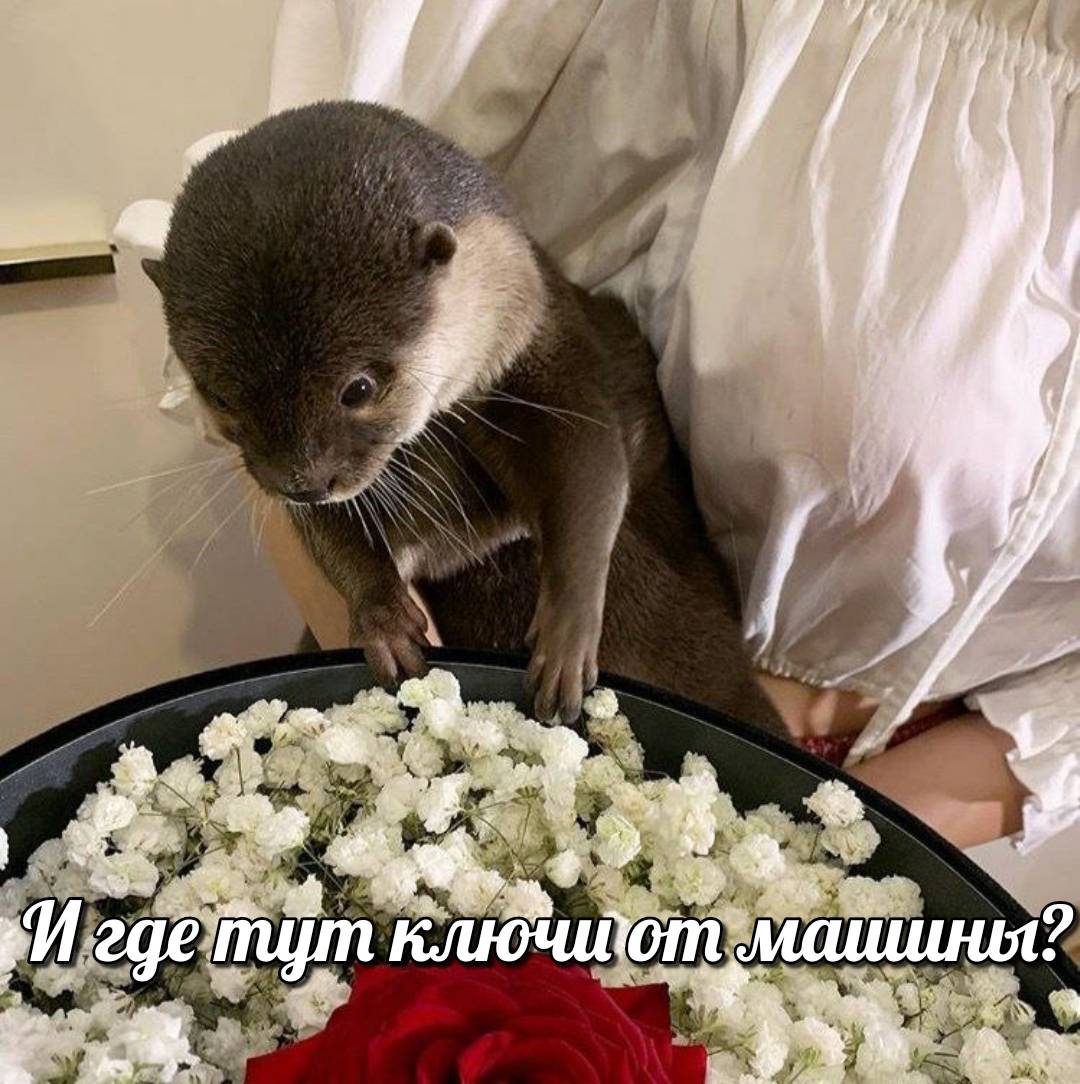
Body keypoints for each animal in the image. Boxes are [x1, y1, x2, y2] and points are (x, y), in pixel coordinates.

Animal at [143, 101, 783, 736]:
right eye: (219, 397)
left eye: (359, 387)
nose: (301, 482)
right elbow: (328, 531)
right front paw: (382, 617)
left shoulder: (547, 347)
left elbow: (591, 468)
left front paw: (566, 639)